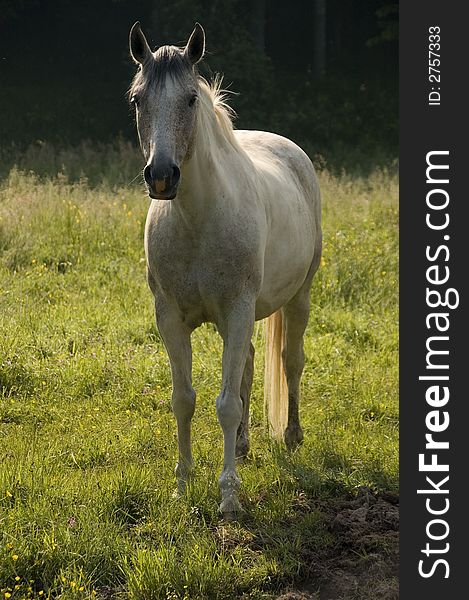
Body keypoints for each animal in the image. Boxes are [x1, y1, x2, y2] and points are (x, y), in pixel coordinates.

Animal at [129, 19, 322, 516]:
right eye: (138, 99)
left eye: (190, 99)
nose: (162, 176)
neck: (198, 220)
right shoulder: (170, 318)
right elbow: (185, 399)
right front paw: (183, 484)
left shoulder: (237, 311)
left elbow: (226, 404)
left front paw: (229, 497)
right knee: (250, 365)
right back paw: (243, 445)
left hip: (298, 297)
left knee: (291, 361)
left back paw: (291, 436)